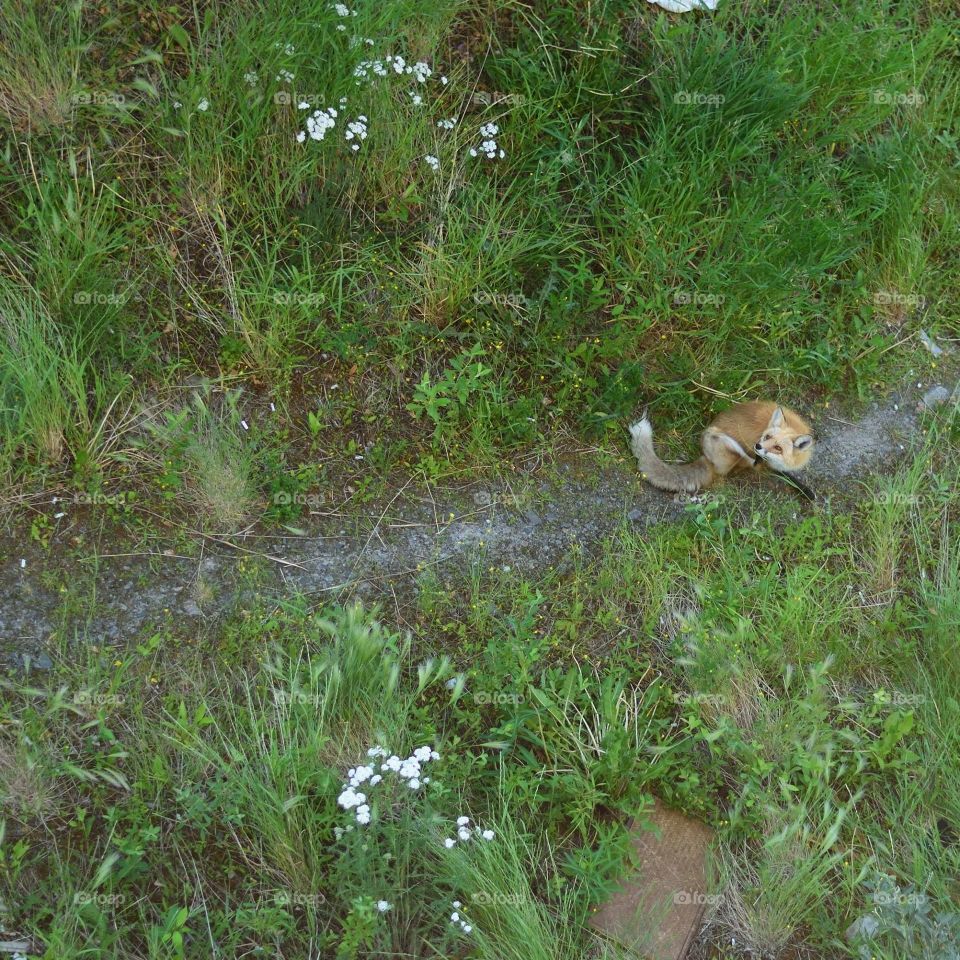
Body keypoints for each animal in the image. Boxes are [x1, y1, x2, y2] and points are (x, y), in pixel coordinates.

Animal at [629, 402, 815, 496]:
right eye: (767, 437)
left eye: (778, 447)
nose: (758, 446)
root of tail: (704, 456)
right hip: (724, 441)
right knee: (740, 465)